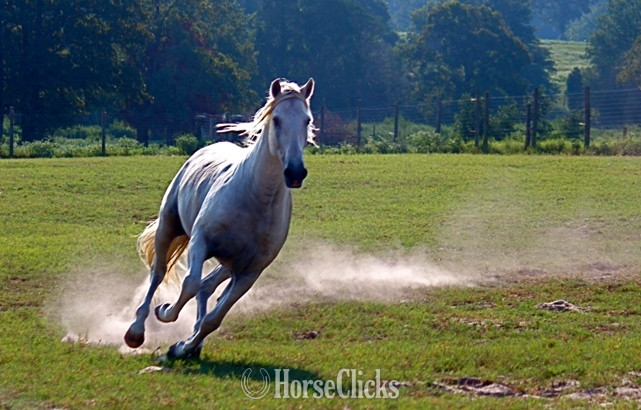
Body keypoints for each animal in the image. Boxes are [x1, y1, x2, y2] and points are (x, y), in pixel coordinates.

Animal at [124, 78, 315, 360]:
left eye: (306, 120)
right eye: (277, 119)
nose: (294, 172)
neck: (255, 198)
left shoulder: (249, 272)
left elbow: (214, 318)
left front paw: (183, 347)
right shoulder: (200, 241)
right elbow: (189, 284)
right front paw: (166, 312)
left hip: (229, 264)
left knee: (206, 287)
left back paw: (192, 345)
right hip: (168, 228)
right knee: (158, 273)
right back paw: (136, 331)